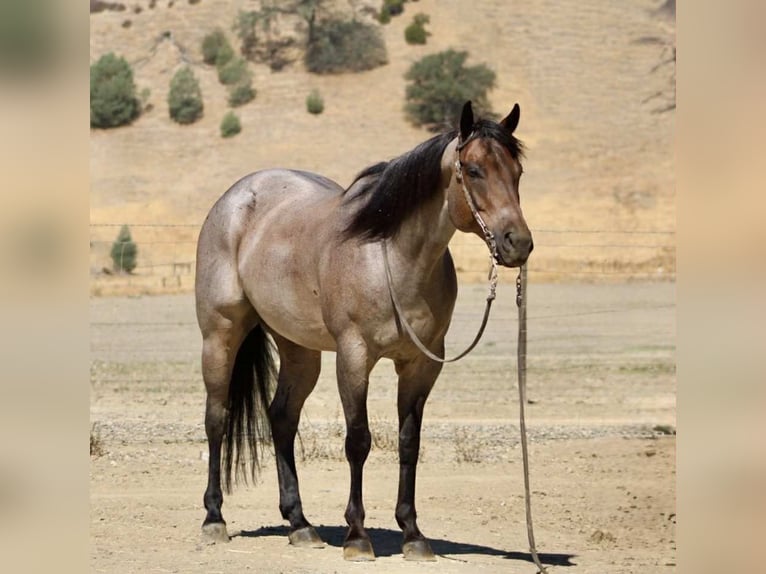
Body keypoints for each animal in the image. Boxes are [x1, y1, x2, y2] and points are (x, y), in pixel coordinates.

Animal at [195, 101, 532, 561]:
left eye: (517, 172)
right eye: (474, 169)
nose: (519, 243)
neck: (392, 255)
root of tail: (234, 198)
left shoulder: (421, 365)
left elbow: (409, 442)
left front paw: (413, 534)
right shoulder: (354, 356)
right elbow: (358, 439)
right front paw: (357, 536)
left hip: (299, 350)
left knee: (282, 417)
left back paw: (300, 524)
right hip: (221, 334)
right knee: (217, 417)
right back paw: (214, 519)